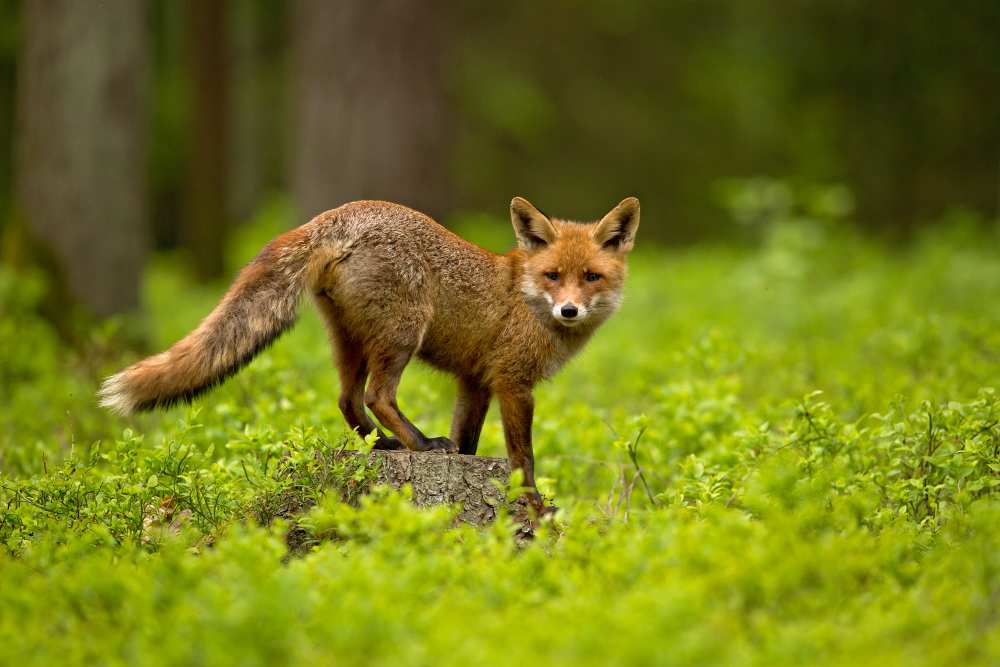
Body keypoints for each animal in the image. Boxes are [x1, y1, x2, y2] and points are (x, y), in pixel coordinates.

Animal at [97, 198, 636, 512]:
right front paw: (533, 503)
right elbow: (523, 455)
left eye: (591, 277)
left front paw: (470, 466)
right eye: (553, 276)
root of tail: (336, 214)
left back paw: (384, 446)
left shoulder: (474, 381)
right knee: (378, 396)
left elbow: (468, 441)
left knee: (347, 401)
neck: (524, 297)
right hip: (402, 334)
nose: (569, 310)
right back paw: (419, 444)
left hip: (351, 342)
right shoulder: (512, 382)